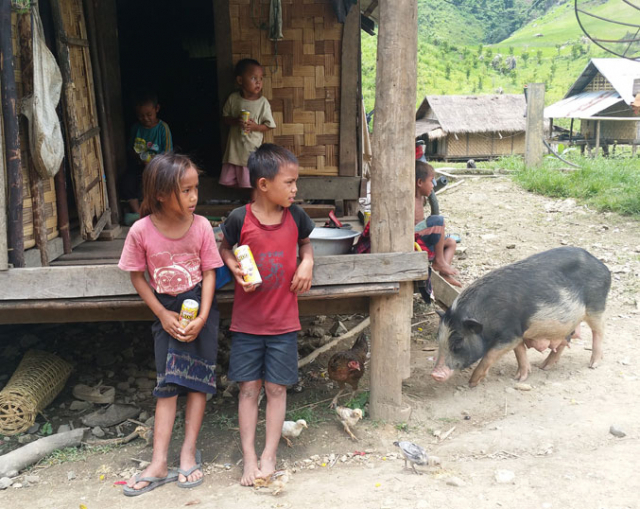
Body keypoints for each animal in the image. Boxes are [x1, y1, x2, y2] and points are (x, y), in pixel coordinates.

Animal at [430, 246, 608, 384]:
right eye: (439, 339)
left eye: (458, 342)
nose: (434, 374)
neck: (487, 316)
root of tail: (603, 267)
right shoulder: (517, 332)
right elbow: (520, 351)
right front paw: (520, 378)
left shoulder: (509, 334)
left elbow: (489, 355)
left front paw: (472, 382)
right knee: (564, 342)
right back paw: (543, 366)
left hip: (596, 306)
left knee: (599, 331)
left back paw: (593, 364)